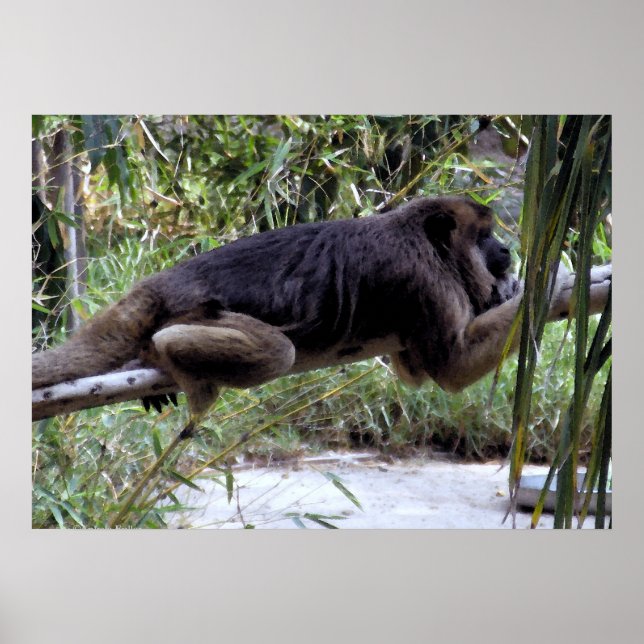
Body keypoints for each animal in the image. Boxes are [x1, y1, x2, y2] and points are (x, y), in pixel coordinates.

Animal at [32, 196, 611, 424]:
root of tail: (168, 277)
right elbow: (450, 367)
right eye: (486, 236)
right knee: (276, 352)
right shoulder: (423, 278)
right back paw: (163, 351)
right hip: (195, 308)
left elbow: (419, 370)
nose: (508, 250)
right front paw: (549, 281)